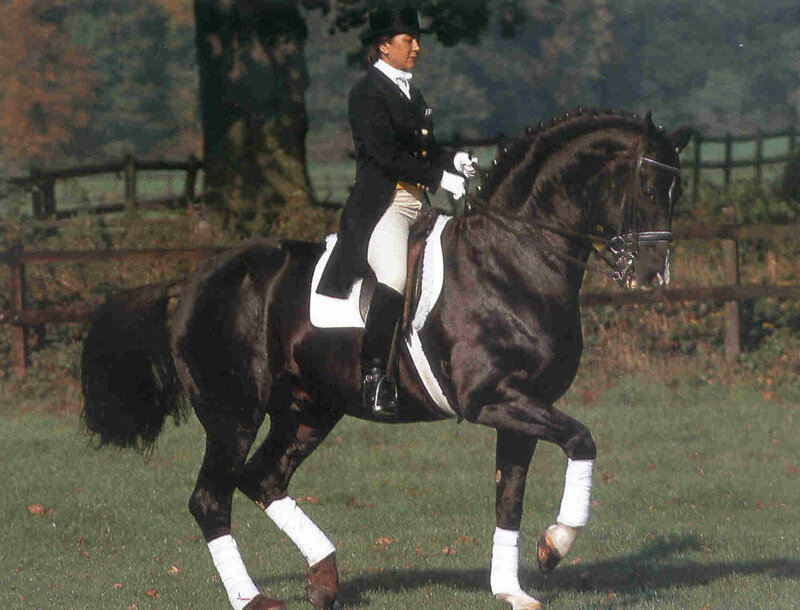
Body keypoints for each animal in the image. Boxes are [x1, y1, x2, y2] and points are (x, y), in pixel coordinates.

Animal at [80, 109, 692, 610]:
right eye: (647, 183)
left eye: (677, 188)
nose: (653, 275)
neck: (513, 259)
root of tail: (191, 282)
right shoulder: (492, 398)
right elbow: (581, 440)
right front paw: (555, 546)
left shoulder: (522, 404)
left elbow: (509, 497)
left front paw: (512, 590)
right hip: (233, 416)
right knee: (211, 499)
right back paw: (255, 599)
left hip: (307, 411)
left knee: (262, 478)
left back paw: (324, 577)